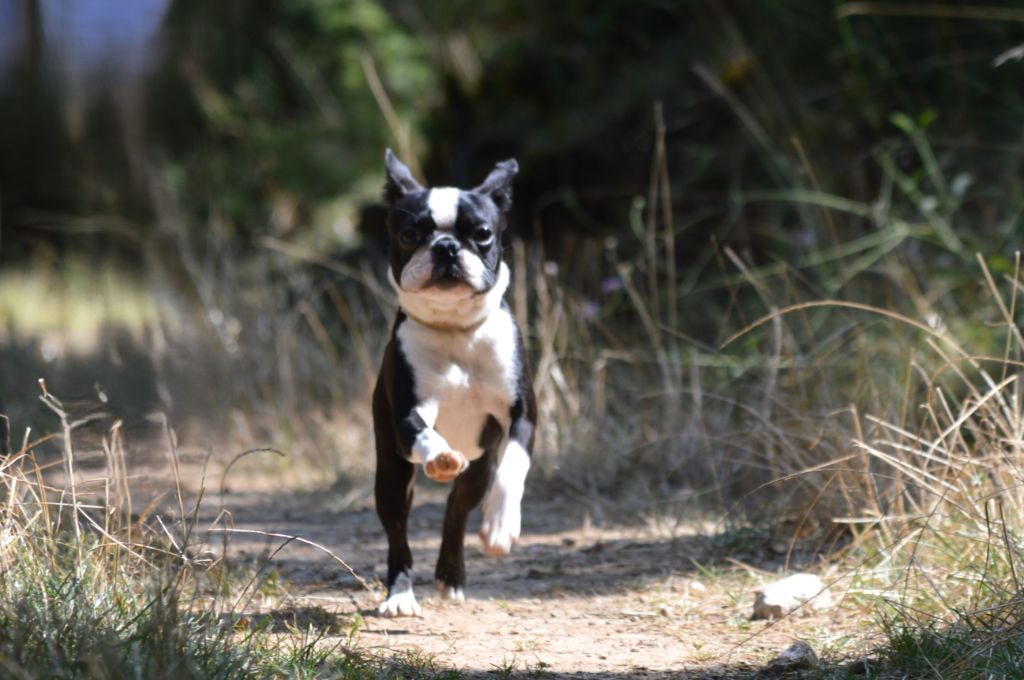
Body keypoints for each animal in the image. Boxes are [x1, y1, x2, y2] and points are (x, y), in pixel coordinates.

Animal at [374, 151, 536, 618]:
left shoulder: (522, 414)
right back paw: (400, 595)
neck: (456, 331)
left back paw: (451, 575)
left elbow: (514, 466)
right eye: (409, 233)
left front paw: (501, 526)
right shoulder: (407, 414)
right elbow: (426, 434)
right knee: (398, 532)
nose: (446, 247)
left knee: (457, 509)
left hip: (478, 468)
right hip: (390, 473)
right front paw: (441, 456)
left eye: (482, 234)